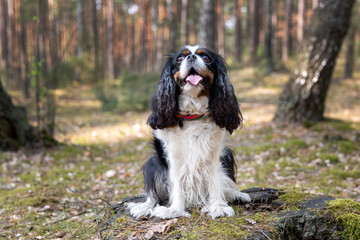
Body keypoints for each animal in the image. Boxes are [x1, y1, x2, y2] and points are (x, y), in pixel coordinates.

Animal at [129, 45, 250, 219]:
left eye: (205, 57)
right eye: (180, 58)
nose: (191, 57)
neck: (193, 113)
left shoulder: (214, 153)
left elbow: (215, 180)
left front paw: (217, 206)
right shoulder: (173, 154)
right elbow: (177, 183)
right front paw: (175, 210)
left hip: (226, 155)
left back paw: (237, 194)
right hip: (154, 163)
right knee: (152, 196)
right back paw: (143, 207)